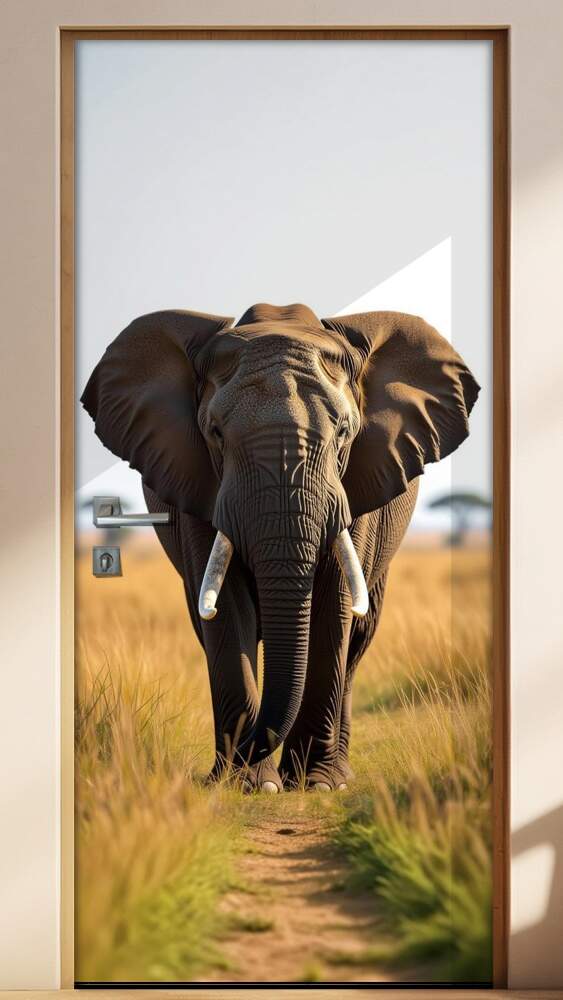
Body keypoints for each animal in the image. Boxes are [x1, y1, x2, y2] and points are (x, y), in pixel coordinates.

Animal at [82, 302, 479, 792]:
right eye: (215, 433)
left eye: (344, 432)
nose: (249, 749)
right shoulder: (197, 481)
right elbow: (227, 610)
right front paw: (251, 785)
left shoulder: (358, 481)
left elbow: (333, 607)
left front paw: (315, 785)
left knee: (357, 642)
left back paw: (335, 773)